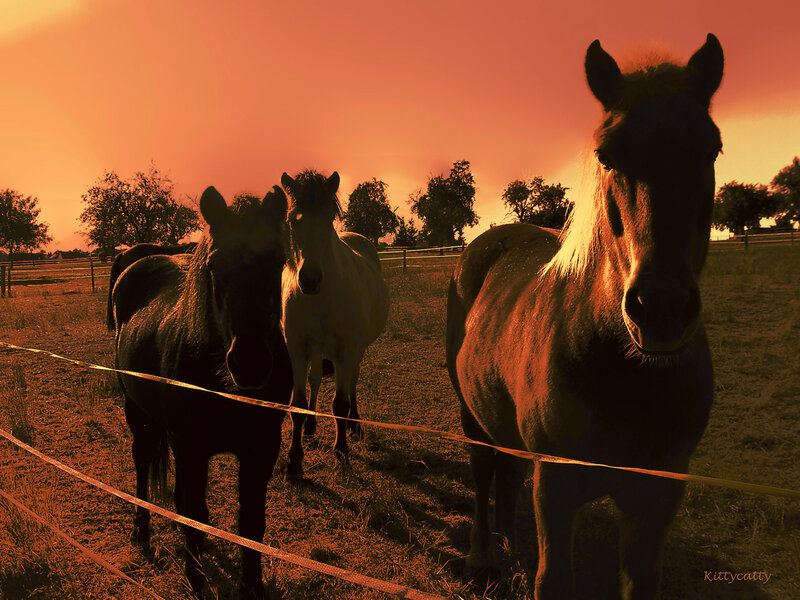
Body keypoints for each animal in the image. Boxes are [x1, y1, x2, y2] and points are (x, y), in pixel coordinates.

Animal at [110, 186, 292, 599]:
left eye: (277, 260)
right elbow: (194, 509)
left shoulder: (262, 448)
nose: (251, 362)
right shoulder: (191, 447)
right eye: (215, 265)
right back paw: (141, 529)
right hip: (137, 414)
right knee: (143, 463)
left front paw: (252, 586)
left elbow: (251, 523)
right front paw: (195, 579)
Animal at [280, 170, 389, 478]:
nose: (309, 279)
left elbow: (340, 404)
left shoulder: (346, 350)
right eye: (292, 220)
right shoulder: (297, 349)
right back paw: (310, 428)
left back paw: (355, 425)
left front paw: (341, 451)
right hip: (318, 350)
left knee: (351, 382)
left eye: (328, 219)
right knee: (316, 380)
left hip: (356, 350)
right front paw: (294, 461)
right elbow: (298, 405)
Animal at [446, 34, 723, 600]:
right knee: (484, 476)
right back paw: (483, 557)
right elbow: (552, 579)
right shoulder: (556, 485)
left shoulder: (657, 496)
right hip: (472, 417)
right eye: (606, 155)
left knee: (506, 477)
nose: (660, 308)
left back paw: (509, 547)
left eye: (710, 149)